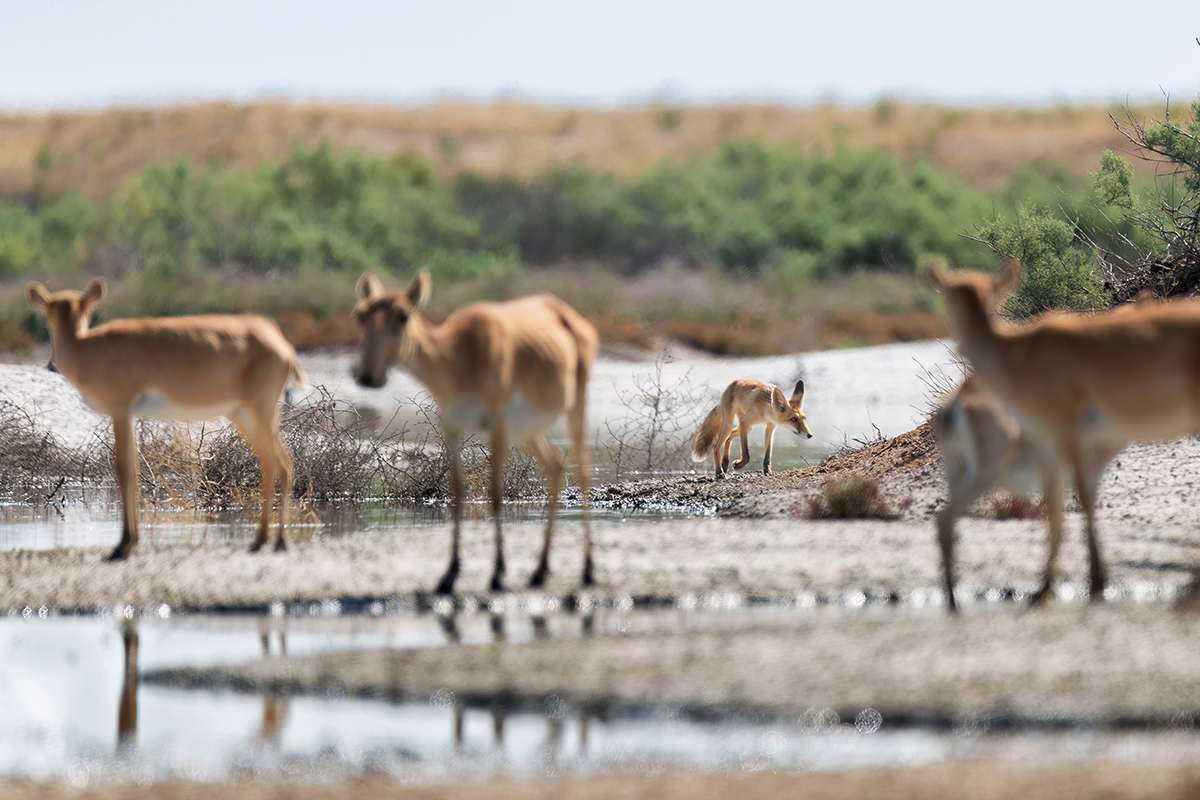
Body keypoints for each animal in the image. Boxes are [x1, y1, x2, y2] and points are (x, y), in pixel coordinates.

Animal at [26, 278, 302, 561]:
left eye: (84, 307)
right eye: (50, 309)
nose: (50, 364)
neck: (86, 348)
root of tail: (282, 345)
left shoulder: (120, 409)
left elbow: (123, 468)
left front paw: (123, 544)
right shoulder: (128, 414)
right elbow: (134, 467)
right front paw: (131, 541)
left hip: (260, 411)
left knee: (284, 463)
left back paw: (280, 542)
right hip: (243, 415)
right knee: (270, 462)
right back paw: (259, 541)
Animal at [352, 271, 600, 594]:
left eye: (403, 314)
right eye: (360, 313)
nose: (368, 376)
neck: (458, 356)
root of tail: (576, 321)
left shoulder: (497, 426)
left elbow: (494, 494)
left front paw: (497, 573)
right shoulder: (452, 427)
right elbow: (458, 492)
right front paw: (449, 575)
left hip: (575, 407)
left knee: (583, 471)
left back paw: (588, 571)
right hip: (529, 430)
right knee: (556, 468)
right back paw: (539, 571)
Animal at [926, 262, 1200, 606]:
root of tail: (952, 408)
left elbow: (1065, 511)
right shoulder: (1071, 448)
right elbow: (1078, 504)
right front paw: (1093, 582)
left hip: (964, 472)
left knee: (947, 522)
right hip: (986, 471)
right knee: (946, 519)